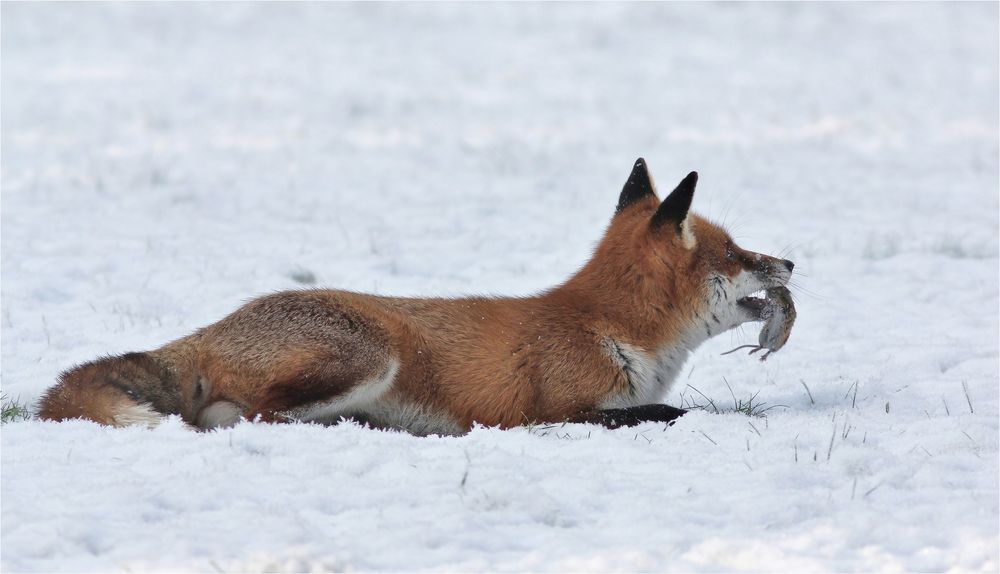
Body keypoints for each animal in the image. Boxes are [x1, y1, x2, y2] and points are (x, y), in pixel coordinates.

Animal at [37, 159, 788, 436]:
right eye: (736, 254)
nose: (788, 262)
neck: (606, 326)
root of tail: (214, 327)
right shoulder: (548, 413)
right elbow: (668, 412)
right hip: (368, 357)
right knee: (246, 418)